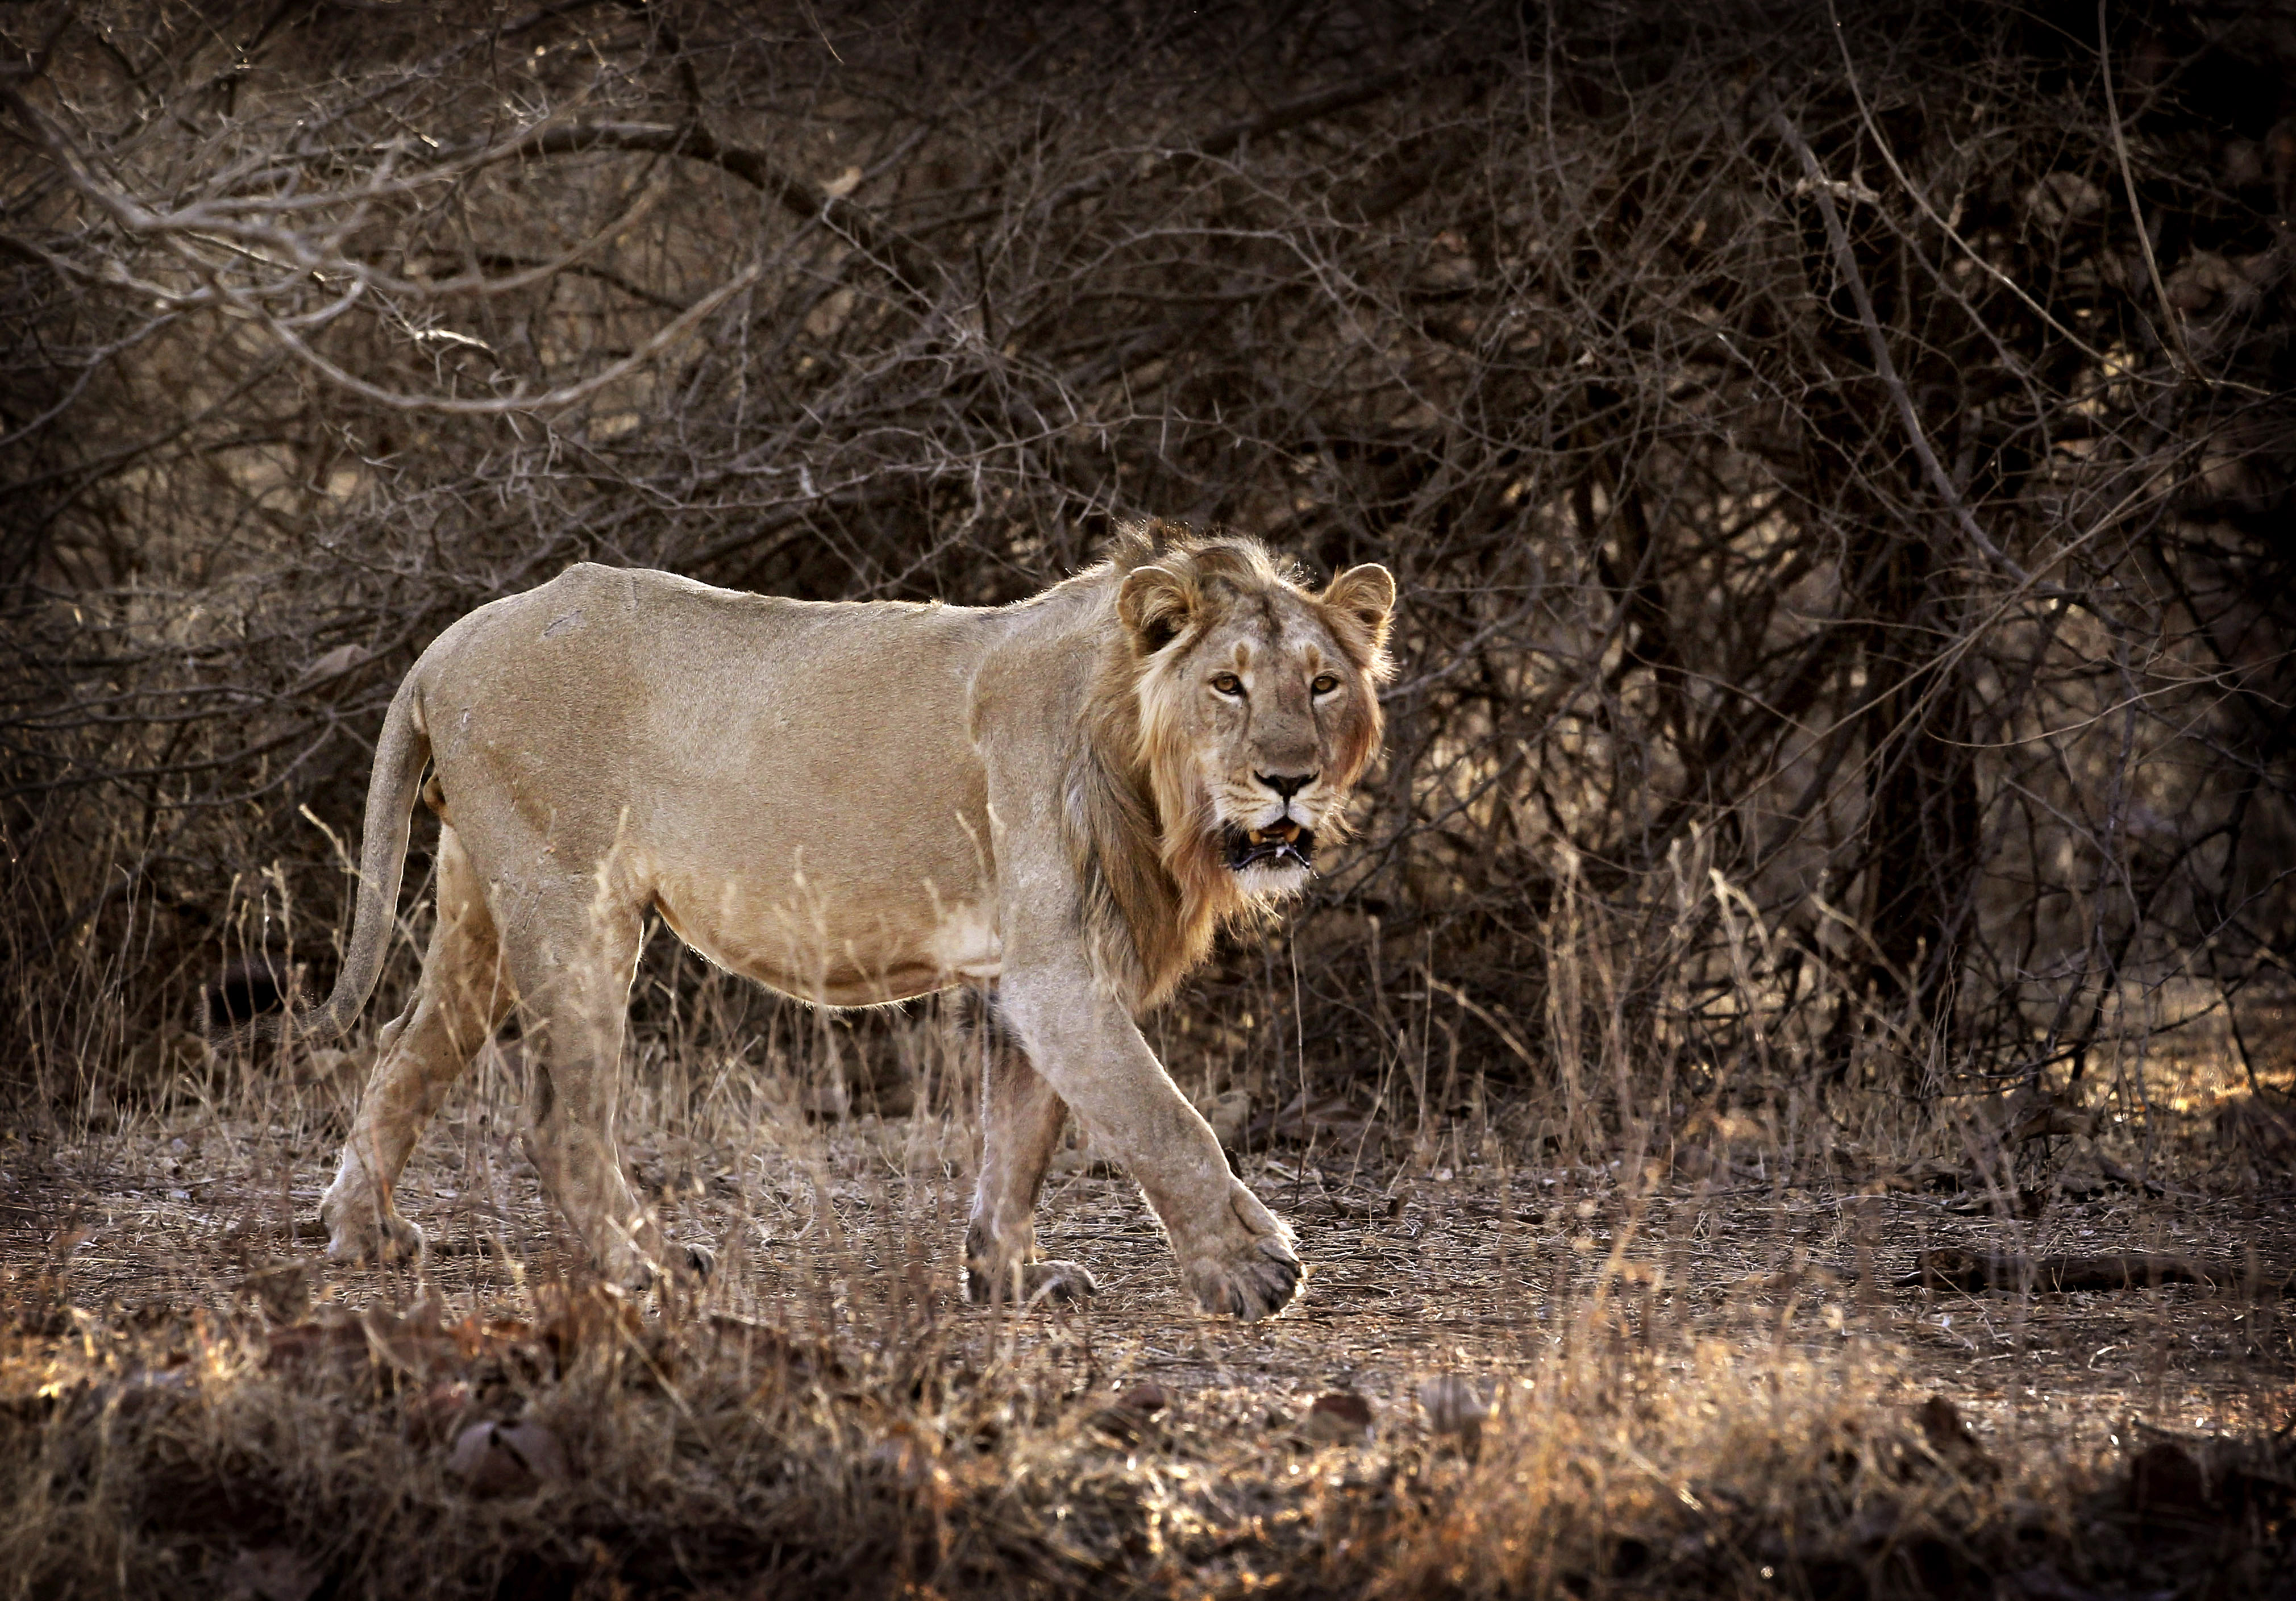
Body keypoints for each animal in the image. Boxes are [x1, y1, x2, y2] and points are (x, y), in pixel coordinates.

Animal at [287, 518, 1394, 1319]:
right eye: (1228, 685)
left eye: (1323, 684)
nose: (1289, 779)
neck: (1144, 764)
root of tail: (451, 640)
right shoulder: (1060, 976)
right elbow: (1167, 1121)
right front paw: (1254, 1269)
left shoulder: (1032, 975)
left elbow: (1022, 1137)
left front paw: (1009, 1277)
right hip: (573, 905)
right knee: (560, 1119)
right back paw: (644, 1265)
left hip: (480, 909)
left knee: (403, 1048)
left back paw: (365, 1230)